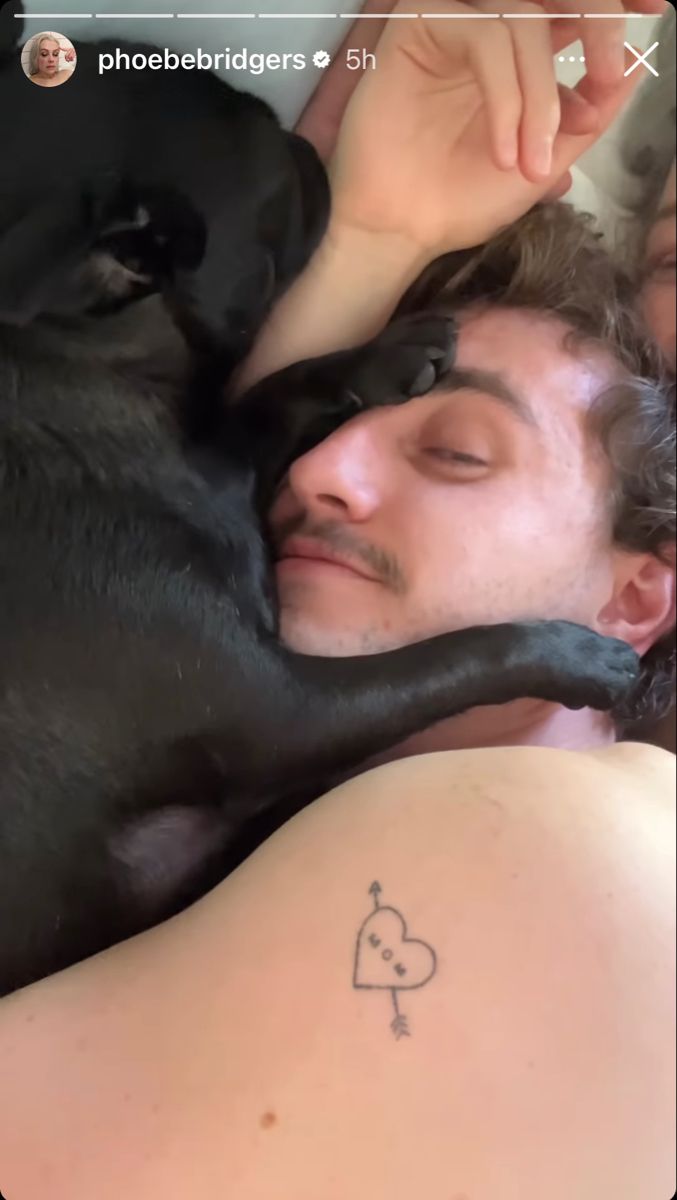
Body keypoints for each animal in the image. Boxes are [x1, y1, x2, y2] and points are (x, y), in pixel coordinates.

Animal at [0, 14, 638, 998]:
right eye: (267, 149)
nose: (310, 138)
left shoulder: (223, 457)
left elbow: (273, 395)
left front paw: (383, 357)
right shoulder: (285, 707)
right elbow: (454, 659)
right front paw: (573, 656)